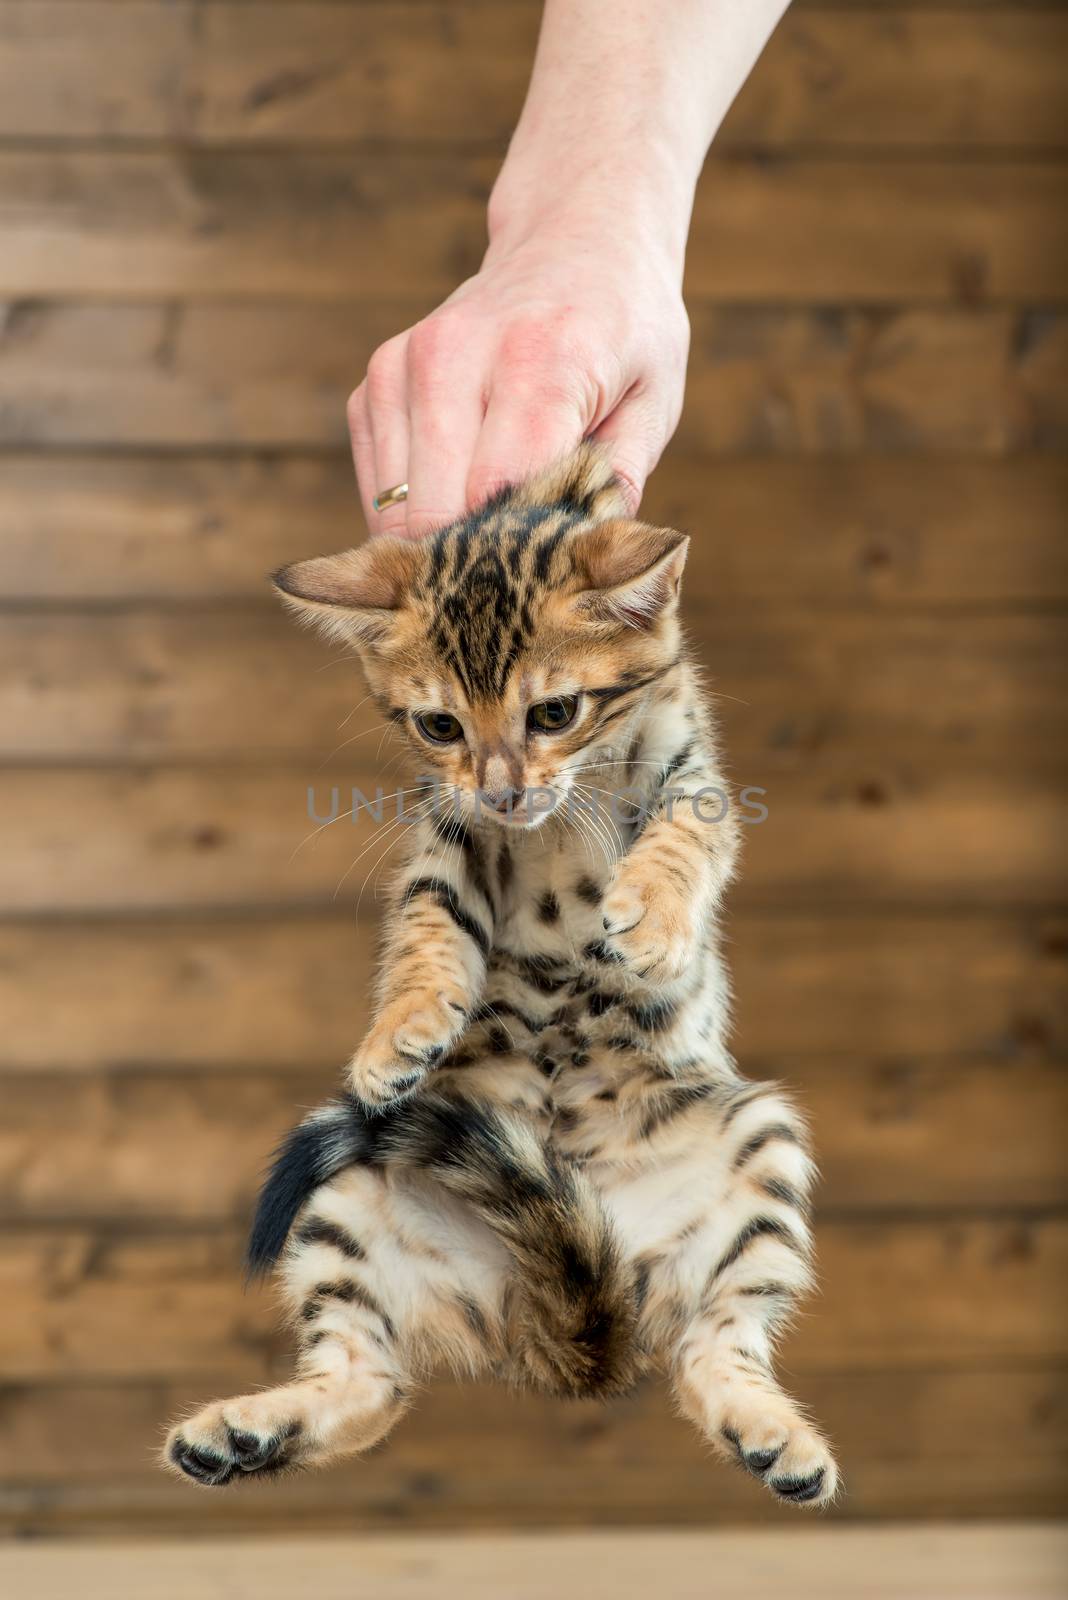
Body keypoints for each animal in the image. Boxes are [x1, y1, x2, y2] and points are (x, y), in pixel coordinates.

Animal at [163, 448, 837, 1497]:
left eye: (554, 712)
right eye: (439, 725)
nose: (504, 790)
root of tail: (557, 1316)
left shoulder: (691, 770)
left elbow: (687, 833)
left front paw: (651, 916)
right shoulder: (450, 834)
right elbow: (428, 920)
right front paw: (401, 1027)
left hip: (758, 1148)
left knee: (711, 1348)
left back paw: (775, 1436)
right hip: (352, 1180)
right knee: (371, 1384)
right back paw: (242, 1433)